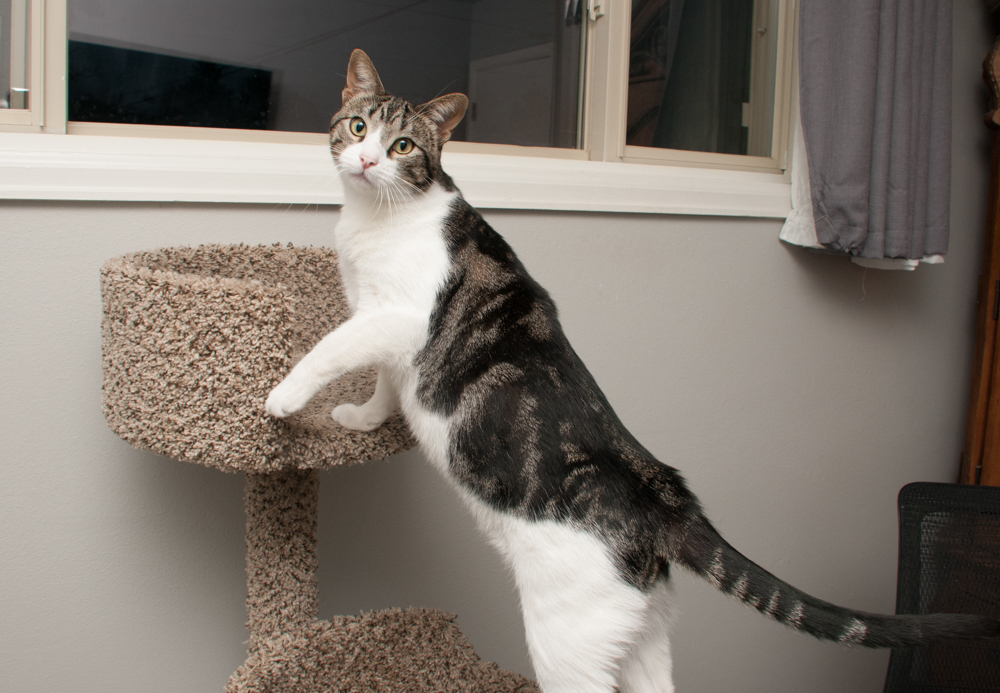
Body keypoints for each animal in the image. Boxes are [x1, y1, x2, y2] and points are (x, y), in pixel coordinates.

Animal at [266, 50, 1000, 692]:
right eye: (358, 128)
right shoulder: (388, 334)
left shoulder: (396, 318)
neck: (373, 219)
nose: (366, 160)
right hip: (640, 633)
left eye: (403, 147)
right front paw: (362, 419)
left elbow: (332, 347)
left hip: (566, 642)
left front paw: (282, 399)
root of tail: (667, 495)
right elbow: (385, 383)